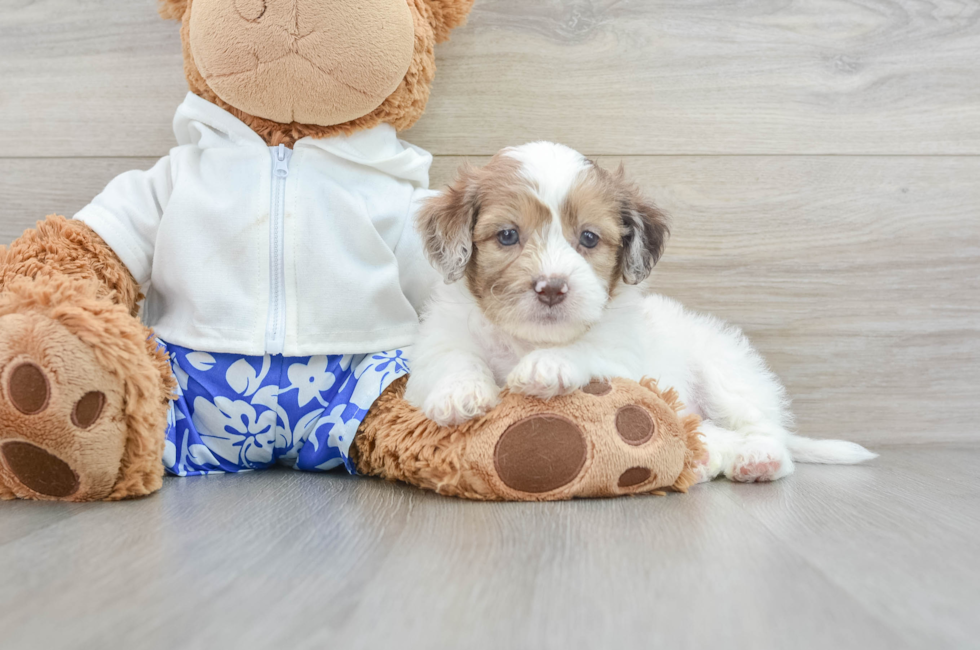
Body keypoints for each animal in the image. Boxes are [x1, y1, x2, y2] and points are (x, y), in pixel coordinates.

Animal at [402, 142, 876, 478]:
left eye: (589, 238)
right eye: (506, 235)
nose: (552, 288)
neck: (530, 339)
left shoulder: (622, 360)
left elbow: (588, 352)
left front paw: (548, 366)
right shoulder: (436, 346)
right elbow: (453, 359)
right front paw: (459, 393)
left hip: (727, 372)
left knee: (761, 427)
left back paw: (758, 459)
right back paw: (706, 461)